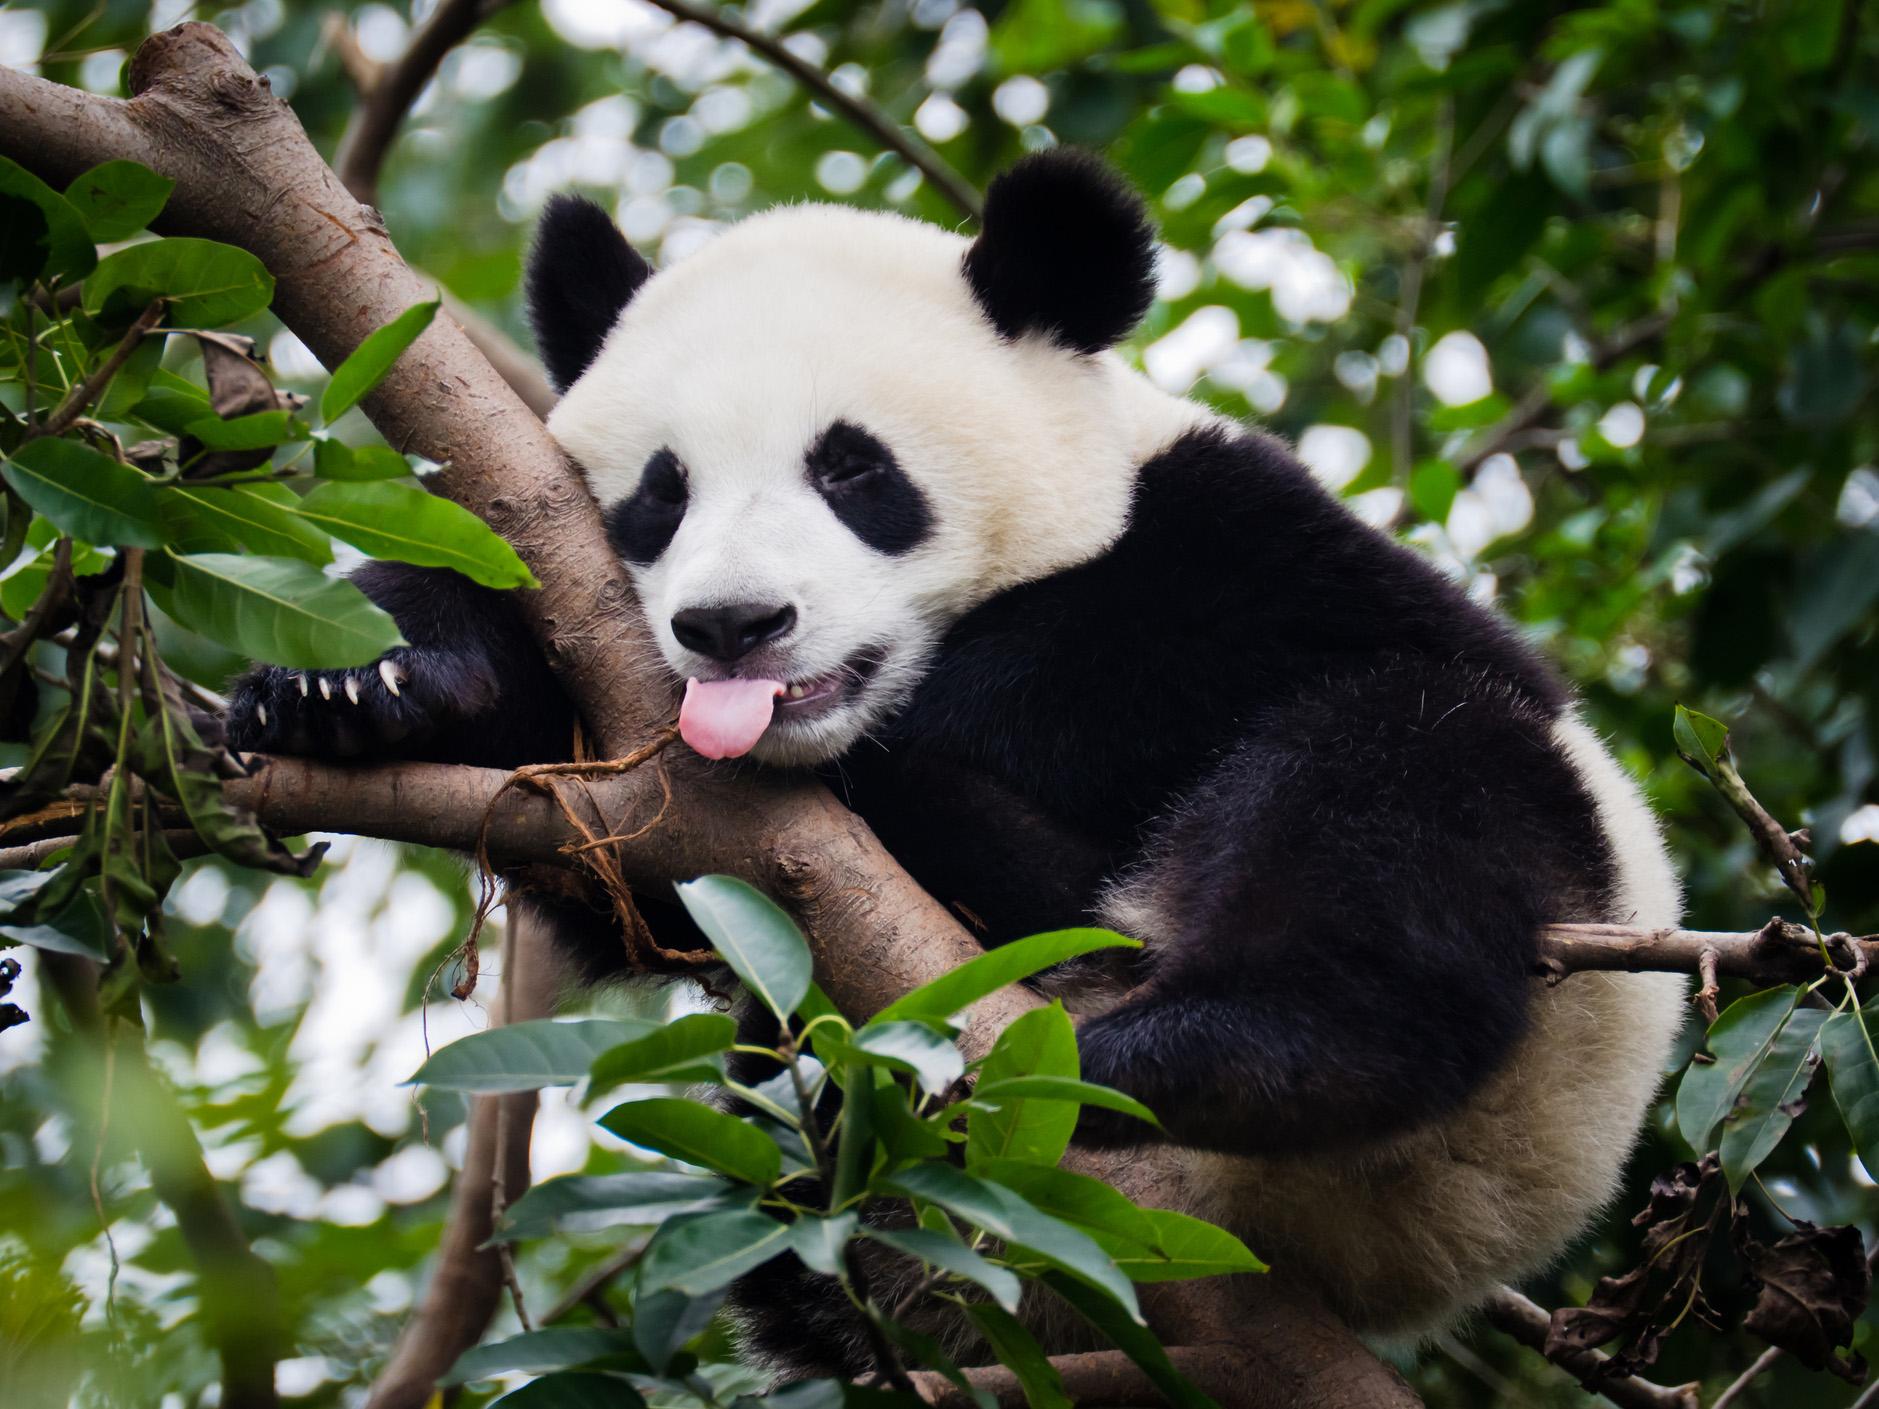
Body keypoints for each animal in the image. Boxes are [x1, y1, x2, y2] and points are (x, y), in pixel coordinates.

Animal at [231, 152, 1691, 1367]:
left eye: (854, 473)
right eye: (660, 492)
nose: (735, 625)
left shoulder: (1237, 540)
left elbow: (1165, 649)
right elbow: (615, 856)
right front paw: (355, 683)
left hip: (1534, 1051)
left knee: (1402, 786)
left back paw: (1191, 1048)